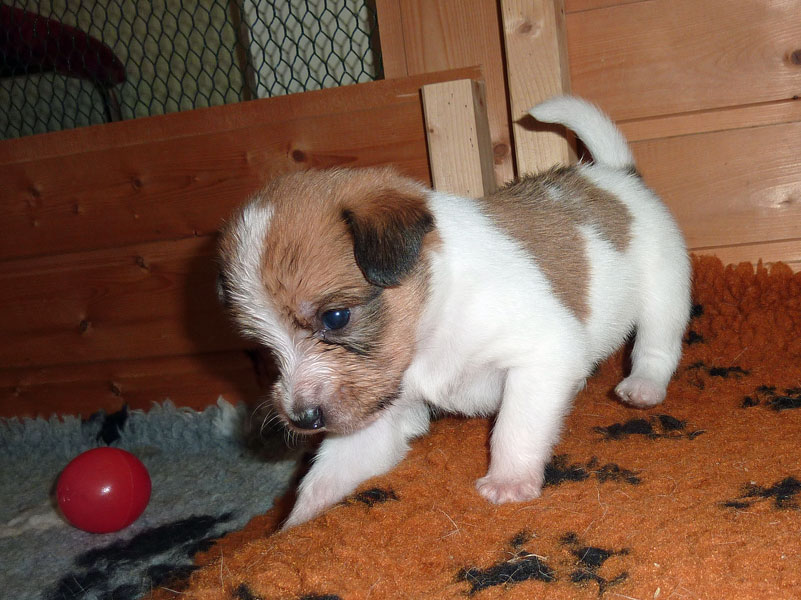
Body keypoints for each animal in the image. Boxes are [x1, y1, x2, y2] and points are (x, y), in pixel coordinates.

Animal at [217, 96, 691, 528]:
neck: (435, 313)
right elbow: (327, 475)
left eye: (335, 317)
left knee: (656, 346)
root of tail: (615, 173)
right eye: (262, 345)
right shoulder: (379, 409)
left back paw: (643, 387)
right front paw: (293, 527)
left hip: (665, 292)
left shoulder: (541, 355)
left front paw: (508, 481)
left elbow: (515, 425)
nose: (302, 419)